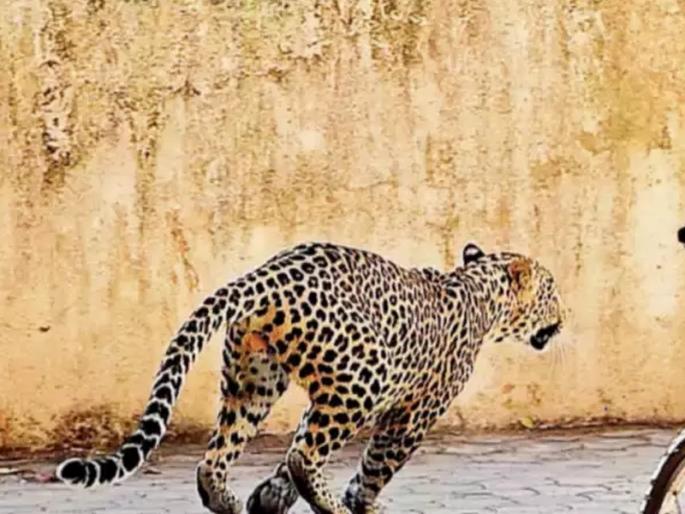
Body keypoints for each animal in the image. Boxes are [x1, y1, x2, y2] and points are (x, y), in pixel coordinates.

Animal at [56, 241, 565, 514]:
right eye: (552, 290)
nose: (563, 318)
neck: (480, 291)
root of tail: (269, 274)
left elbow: (294, 450)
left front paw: (269, 498)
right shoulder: (413, 413)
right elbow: (378, 464)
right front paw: (363, 503)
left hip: (255, 381)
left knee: (220, 458)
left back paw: (229, 501)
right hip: (363, 379)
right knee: (303, 456)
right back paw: (331, 506)